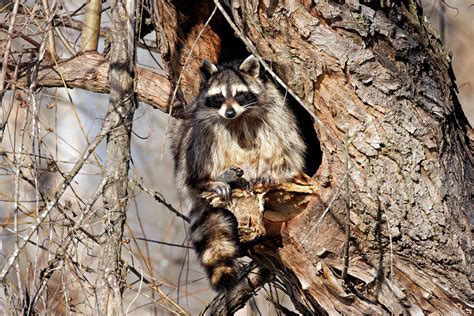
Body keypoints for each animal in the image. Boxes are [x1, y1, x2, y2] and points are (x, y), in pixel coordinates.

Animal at [171, 55, 308, 292]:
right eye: (219, 96)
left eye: (239, 94)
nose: (229, 113)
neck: (238, 118)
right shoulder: (201, 110)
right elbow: (199, 130)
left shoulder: (276, 109)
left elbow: (288, 145)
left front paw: (277, 173)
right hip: (186, 159)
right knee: (197, 139)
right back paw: (209, 181)